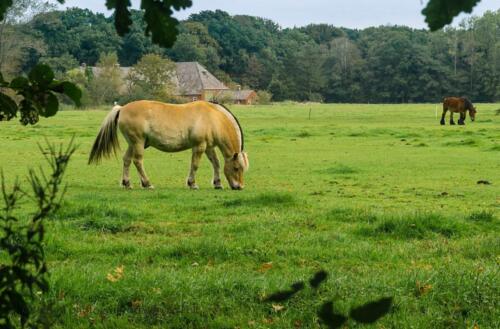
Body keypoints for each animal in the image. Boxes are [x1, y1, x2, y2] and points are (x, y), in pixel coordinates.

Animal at [89, 99, 249, 190]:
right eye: (236, 168)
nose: (239, 187)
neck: (213, 118)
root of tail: (122, 108)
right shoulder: (199, 146)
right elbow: (195, 165)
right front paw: (192, 183)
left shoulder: (208, 147)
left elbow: (216, 163)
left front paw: (217, 183)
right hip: (138, 143)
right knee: (137, 161)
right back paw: (147, 183)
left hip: (133, 144)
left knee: (127, 160)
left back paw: (127, 183)